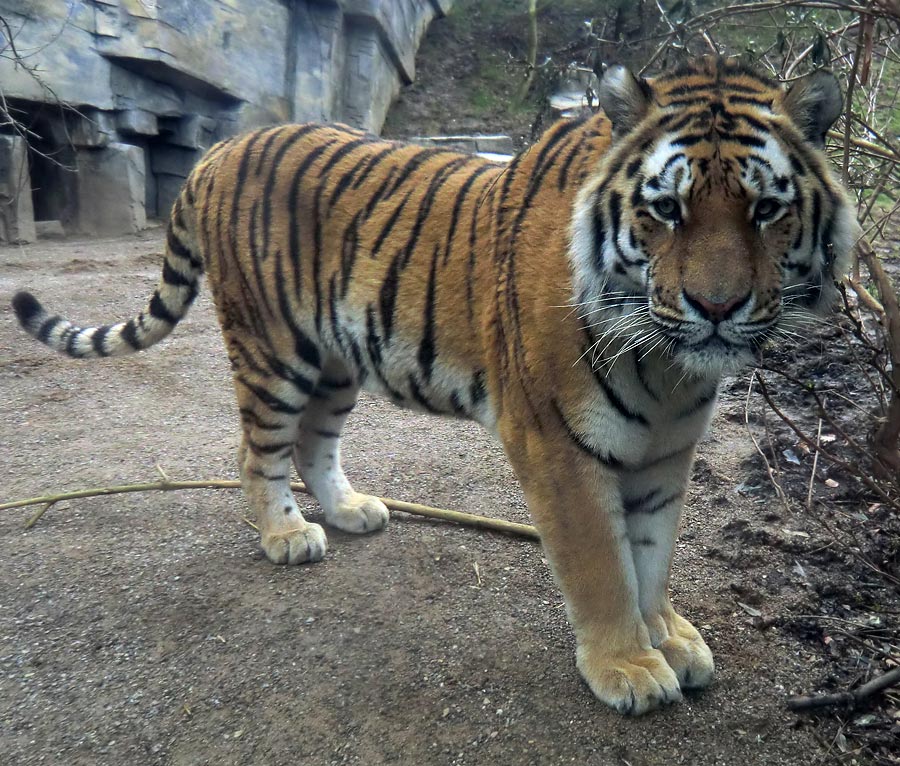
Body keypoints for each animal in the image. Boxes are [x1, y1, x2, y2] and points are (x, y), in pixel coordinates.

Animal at [12, 57, 856, 716]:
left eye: (767, 209)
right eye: (666, 210)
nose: (716, 308)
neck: (668, 364)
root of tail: (219, 149)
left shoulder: (666, 451)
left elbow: (652, 557)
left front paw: (669, 637)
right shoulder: (556, 442)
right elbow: (603, 565)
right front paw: (626, 666)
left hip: (336, 359)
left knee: (315, 444)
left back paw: (351, 510)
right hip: (273, 351)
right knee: (258, 452)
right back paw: (287, 536)